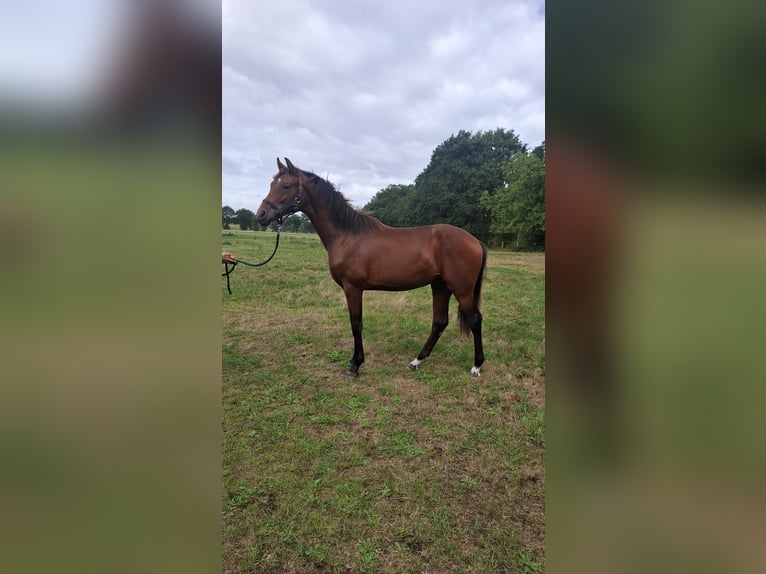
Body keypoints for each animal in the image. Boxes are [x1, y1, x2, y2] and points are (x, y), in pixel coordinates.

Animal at [257, 158, 487, 379]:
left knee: (475, 320)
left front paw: (355, 365)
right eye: (272, 184)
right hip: (440, 286)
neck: (347, 234)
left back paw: (476, 366)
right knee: (439, 322)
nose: (261, 214)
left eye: (286, 186)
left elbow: (356, 324)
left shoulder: (353, 288)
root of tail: (475, 241)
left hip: (461, 289)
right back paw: (416, 362)